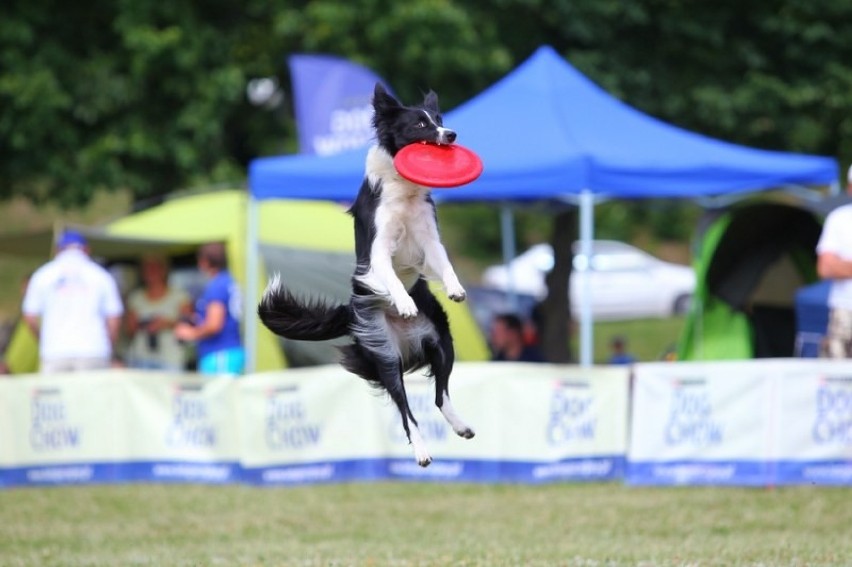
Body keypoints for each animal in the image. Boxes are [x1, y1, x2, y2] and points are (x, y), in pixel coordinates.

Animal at [256, 83, 476, 466]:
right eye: (421, 124)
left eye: (439, 119)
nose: (451, 135)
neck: (404, 188)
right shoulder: (377, 250)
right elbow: (389, 275)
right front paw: (404, 302)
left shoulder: (428, 238)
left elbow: (444, 263)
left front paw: (456, 288)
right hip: (384, 355)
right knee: (405, 411)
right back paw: (421, 452)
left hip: (440, 338)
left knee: (439, 395)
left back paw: (461, 426)